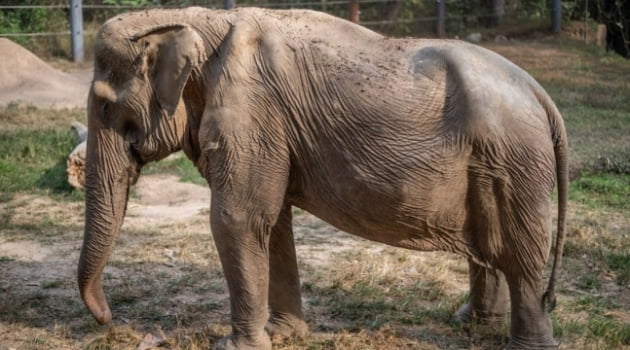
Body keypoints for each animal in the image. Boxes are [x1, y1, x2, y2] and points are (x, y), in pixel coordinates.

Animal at [78, 6, 568, 350]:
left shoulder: (252, 114)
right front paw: (285, 335)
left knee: (521, 255)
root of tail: (542, 95)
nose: (110, 319)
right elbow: (272, 223)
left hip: (516, 162)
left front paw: (233, 345)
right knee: (491, 246)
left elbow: (238, 219)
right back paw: (468, 323)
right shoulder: (270, 129)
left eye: (104, 106)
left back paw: (524, 345)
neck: (196, 20)